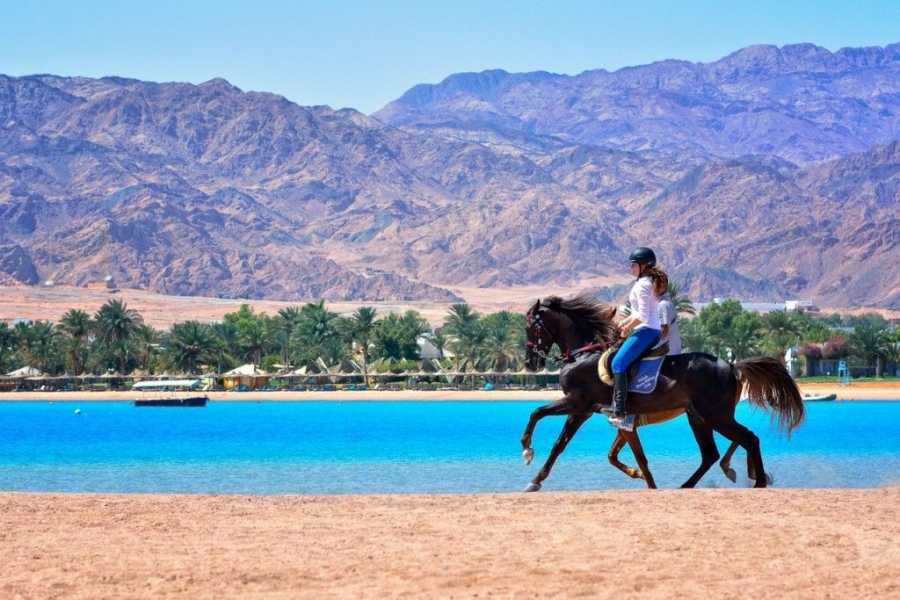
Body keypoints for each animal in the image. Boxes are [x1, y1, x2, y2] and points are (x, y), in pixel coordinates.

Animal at [520, 296, 800, 492]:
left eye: (531, 327)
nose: (531, 363)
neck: (584, 353)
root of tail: (732, 366)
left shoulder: (578, 402)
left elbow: (536, 412)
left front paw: (526, 449)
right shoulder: (584, 411)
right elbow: (561, 444)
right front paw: (535, 481)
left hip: (715, 415)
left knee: (748, 439)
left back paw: (757, 480)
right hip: (700, 417)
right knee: (713, 453)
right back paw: (692, 484)